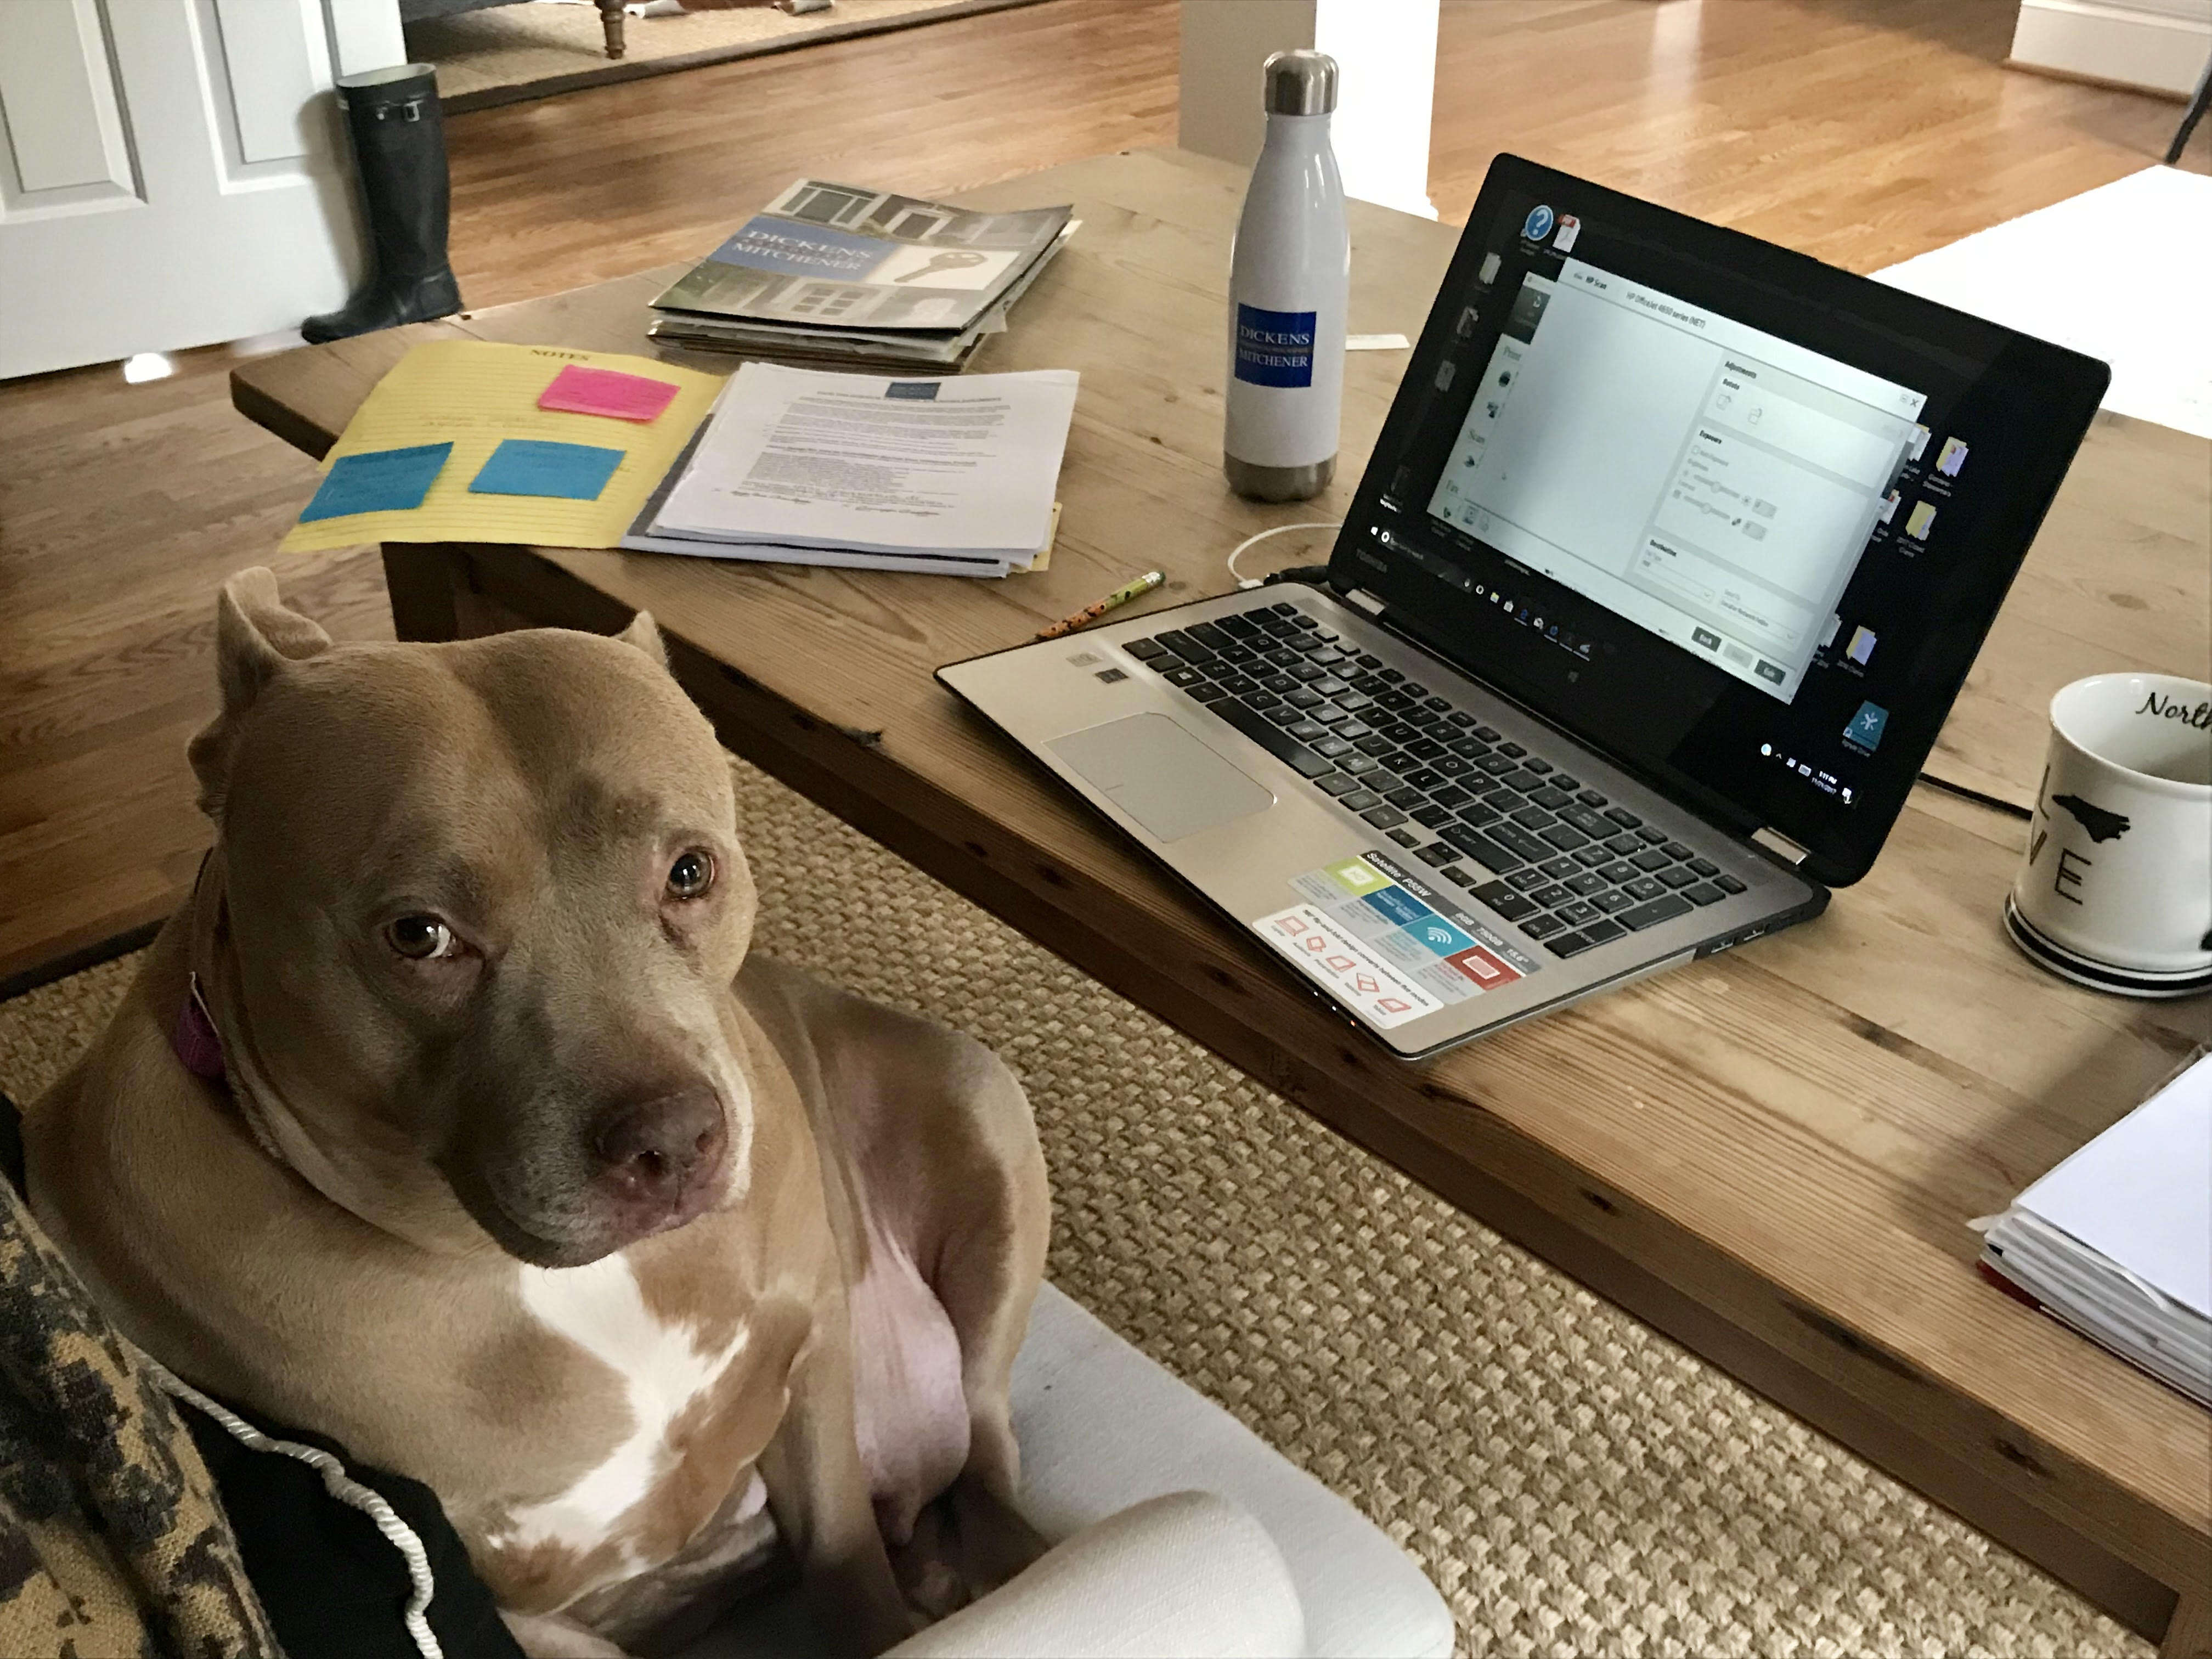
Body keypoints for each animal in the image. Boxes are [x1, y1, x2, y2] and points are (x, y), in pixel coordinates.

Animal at [19, 575, 1053, 1659]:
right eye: (419, 934)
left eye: (690, 871)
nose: (674, 1139)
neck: (565, 1283)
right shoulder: (511, 1609)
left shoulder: (809, 1365)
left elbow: (856, 1578)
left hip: (980, 1103)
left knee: (987, 1434)